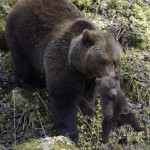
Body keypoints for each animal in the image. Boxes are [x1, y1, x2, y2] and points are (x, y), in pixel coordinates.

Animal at [4, 0, 122, 142]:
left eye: (115, 61)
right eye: (103, 61)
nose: (111, 78)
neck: (79, 66)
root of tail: (18, 4)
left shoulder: (89, 77)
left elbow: (88, 93)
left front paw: (87, 108)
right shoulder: (62, 64)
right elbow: (64, 97)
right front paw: (71, 132)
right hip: (22, 36)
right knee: (23, 62)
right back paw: (30, 83)